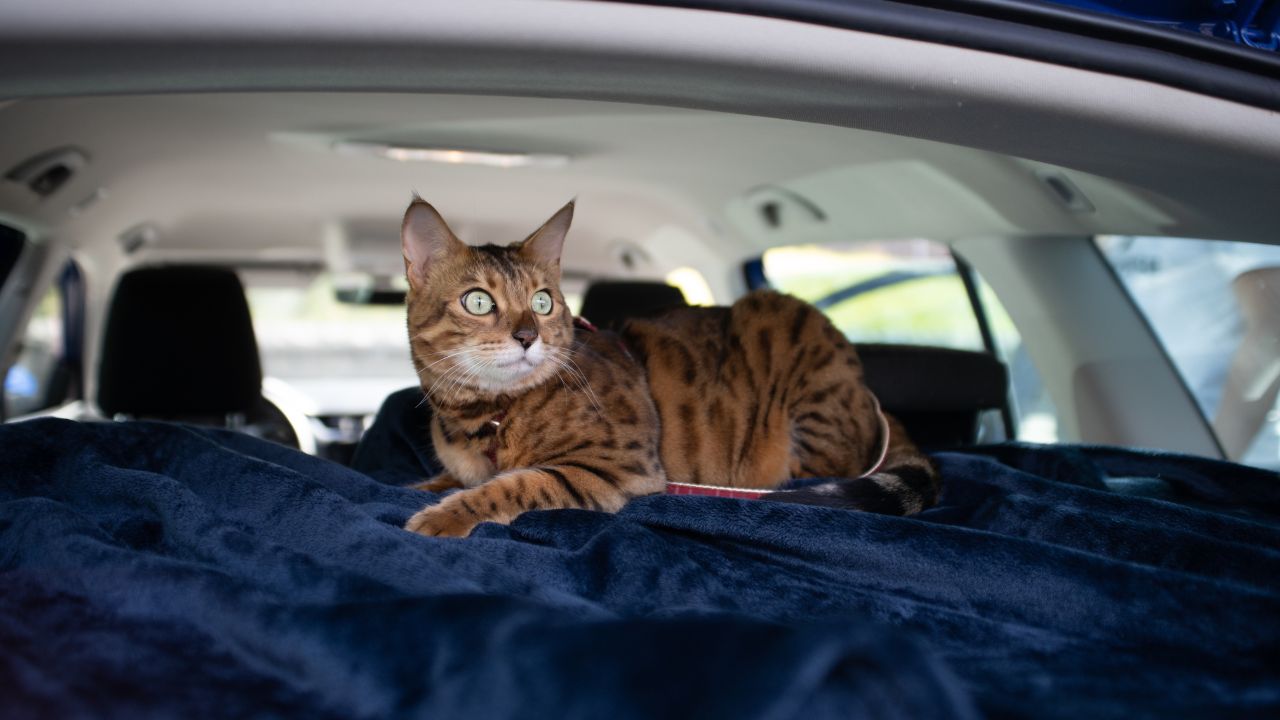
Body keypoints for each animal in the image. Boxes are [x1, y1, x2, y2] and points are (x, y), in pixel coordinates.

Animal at [399, 198, 942, 535]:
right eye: (477, 301)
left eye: (542, 301)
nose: (529, 336)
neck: (485, 416)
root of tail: (872, 400)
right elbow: (450, 478)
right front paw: (424, 487)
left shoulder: (612, 466)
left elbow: (514, 484)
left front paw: (443, 517)